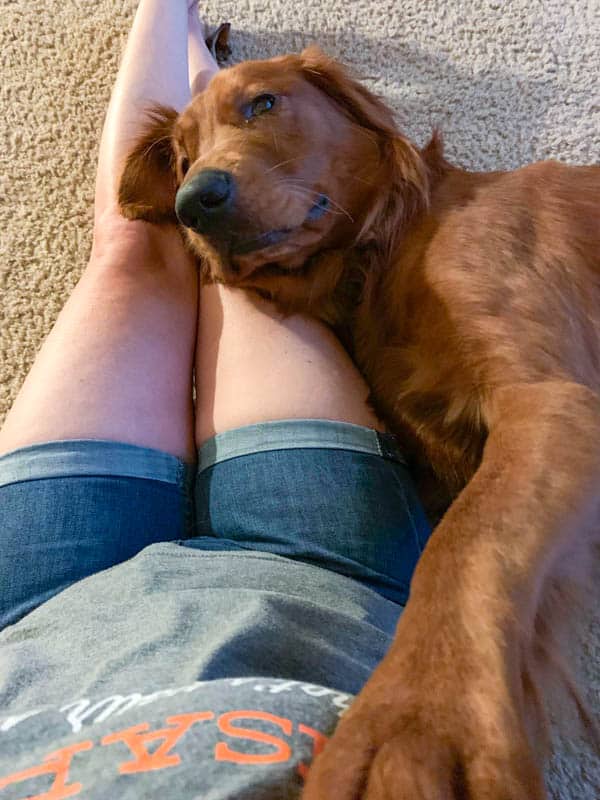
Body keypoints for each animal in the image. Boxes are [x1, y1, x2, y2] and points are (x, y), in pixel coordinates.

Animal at [118, 47, 600, 796]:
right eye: (181, 156)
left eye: (262, 104)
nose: (193, 202)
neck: (385, 252)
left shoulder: (552, 399)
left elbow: (465, 546)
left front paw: (416, 723)